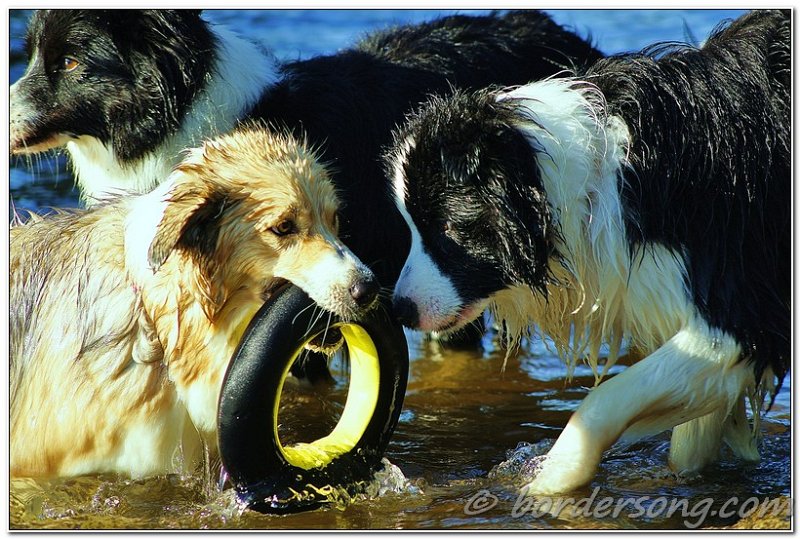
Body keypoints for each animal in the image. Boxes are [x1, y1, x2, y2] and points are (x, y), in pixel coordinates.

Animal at [390, 10, 792, 496]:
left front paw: (547, 480)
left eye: (448, 228)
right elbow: (690, 441)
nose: (398, 309)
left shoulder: (740, 308)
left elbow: (604, 399)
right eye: (409, 227)